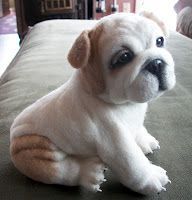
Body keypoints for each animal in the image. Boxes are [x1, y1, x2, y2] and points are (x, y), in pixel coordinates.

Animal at [10, 12, 176, 194]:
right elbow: (133, 163)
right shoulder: (115, 141)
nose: (156, 63)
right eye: (124, 57)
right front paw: (151, 178)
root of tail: (12, 138)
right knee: (60, 171)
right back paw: (88, 173)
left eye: (160, 41)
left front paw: (144, 140)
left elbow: (138, 128)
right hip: (35, 149)